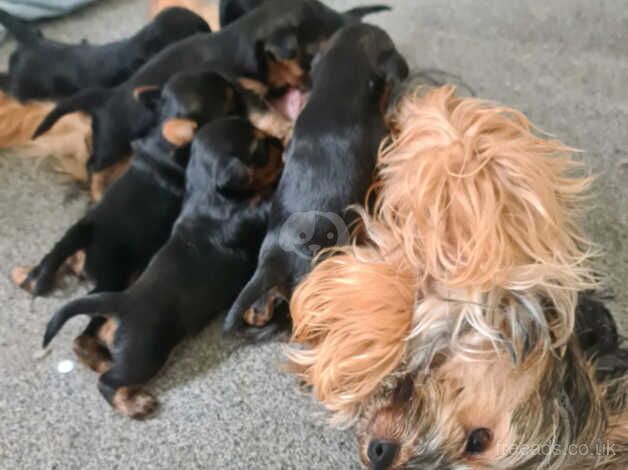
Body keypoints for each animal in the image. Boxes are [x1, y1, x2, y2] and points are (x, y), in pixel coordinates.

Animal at [14, 70, 243, 298]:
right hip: (112, 277)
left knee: (48, 262)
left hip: (71, 238)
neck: (165, 138)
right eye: (227, 96)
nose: (235, 84)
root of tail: (84, 241)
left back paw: (30, 277)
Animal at [31, 0, 390, 174]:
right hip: (111, 144)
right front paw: (284, 127)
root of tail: (106, 96)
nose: (309, 84)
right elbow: (264, 114)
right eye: (311, 56)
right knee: (93, 164)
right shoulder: (241, 88)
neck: (246, 44)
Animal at [41, 118, 282, 418]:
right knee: (108, 382)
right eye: (259, 147)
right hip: (144, 355)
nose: (279, 142)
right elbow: (265, 200)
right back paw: (134, 403)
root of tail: (121, 303)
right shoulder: (249, 216)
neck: (207, 193)